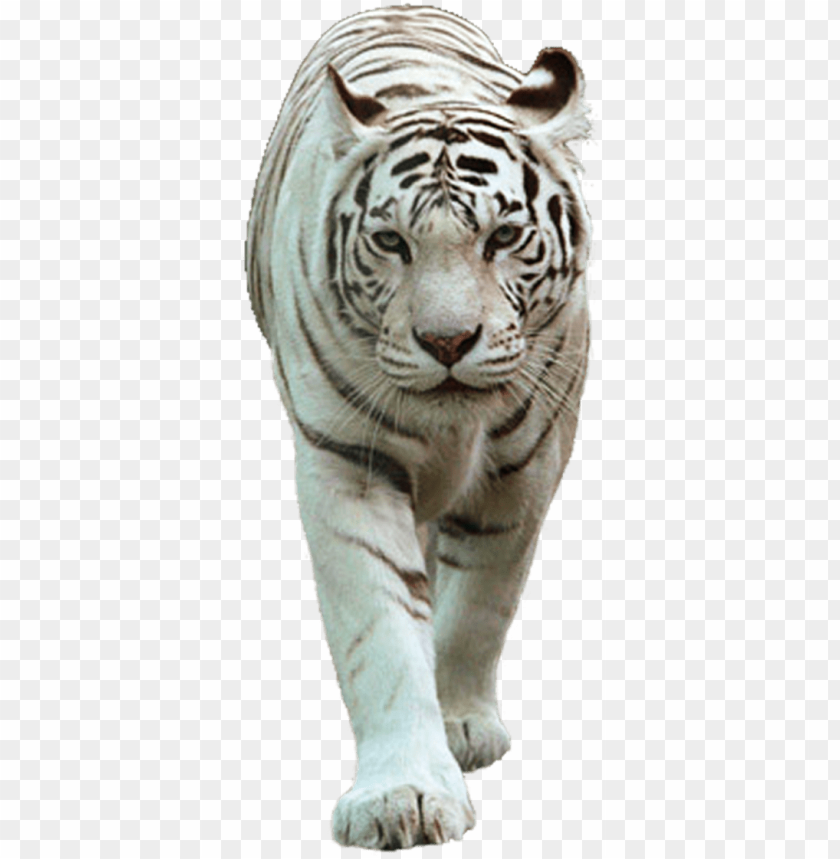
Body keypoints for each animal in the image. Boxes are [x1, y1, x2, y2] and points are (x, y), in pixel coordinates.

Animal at [245, 5, 591, 850]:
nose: (446, 341)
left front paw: (461, 724)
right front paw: (403, 793)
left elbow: (478, 606)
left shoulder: (525, 466)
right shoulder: (346, 461)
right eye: (391, 242)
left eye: (502, 238)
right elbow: (381, 628)